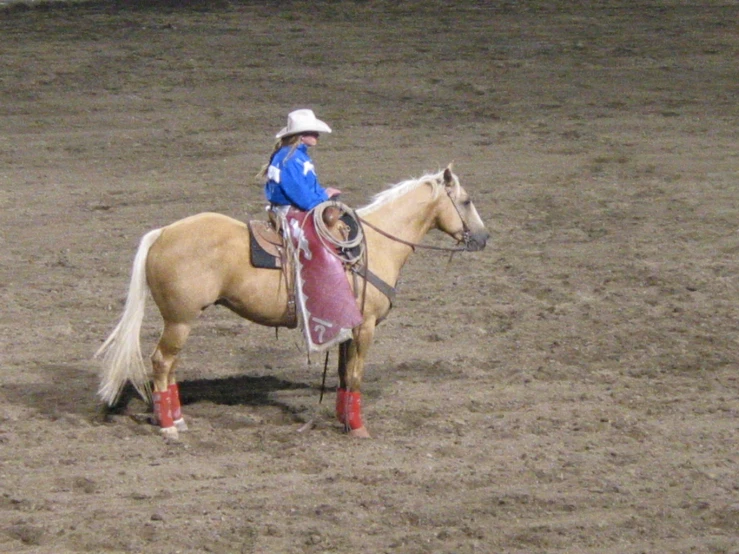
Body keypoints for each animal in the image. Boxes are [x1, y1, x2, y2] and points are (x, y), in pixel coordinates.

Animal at [99, 164, 492, 436]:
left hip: (180, 321)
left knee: (169, 364)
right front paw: (359, 429)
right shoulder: (365, 327)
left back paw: (177, 419)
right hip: (180, 319)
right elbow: (356, 376)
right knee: (161, 362)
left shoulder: (348, 328)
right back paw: (168, 426)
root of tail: (163, 233)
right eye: (467, 201)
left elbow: (343, 375)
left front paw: (343, 419)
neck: (377, 245)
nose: (484, 237)